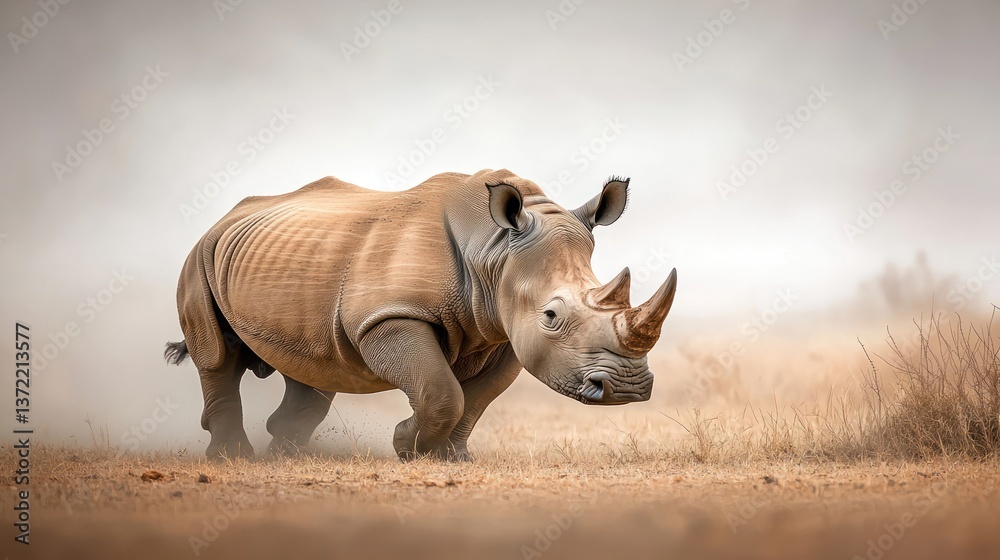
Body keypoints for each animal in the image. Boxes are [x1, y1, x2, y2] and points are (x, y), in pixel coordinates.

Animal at [165, 169, 677, 460]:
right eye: (551, 315)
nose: (626, 389)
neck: (493, 251)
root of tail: (227, 215)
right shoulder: (389, 316)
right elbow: (442, 391)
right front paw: (407, 446)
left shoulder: (506, 332)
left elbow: (476, 399)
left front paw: (450, 458)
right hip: (199, 254)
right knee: (217, 356)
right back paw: (234, 458)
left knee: (310, 363)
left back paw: (284, 456)